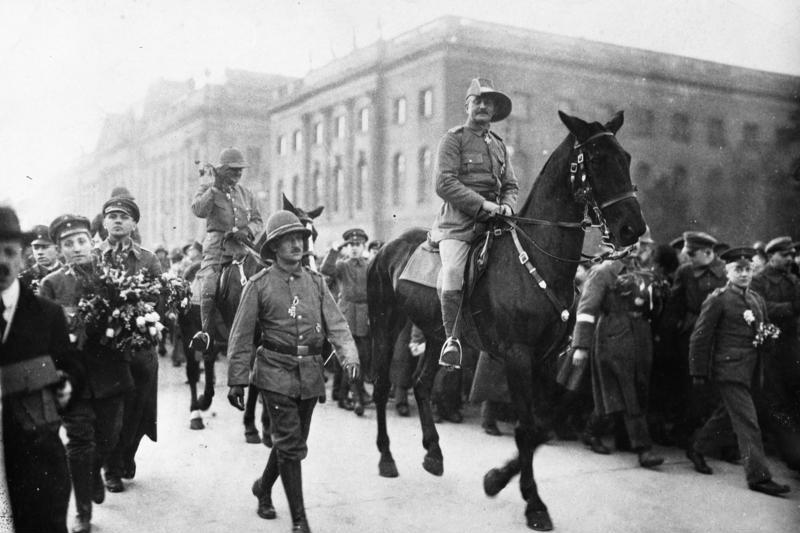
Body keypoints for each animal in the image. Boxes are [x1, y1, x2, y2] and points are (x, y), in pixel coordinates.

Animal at [366, 111, 648, 528]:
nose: (633, 228)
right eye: (597, 160)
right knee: (385, 383)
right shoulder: (517, 356)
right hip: (386, 322)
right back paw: (386, 458)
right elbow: (526, 427)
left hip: (437, 331)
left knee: (421, 383)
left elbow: (542, 427)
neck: (537, 259)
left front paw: (496, 479)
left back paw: (433, 453)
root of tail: (388, 246)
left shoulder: (545, 358)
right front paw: (534, 504)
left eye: (626, 158)